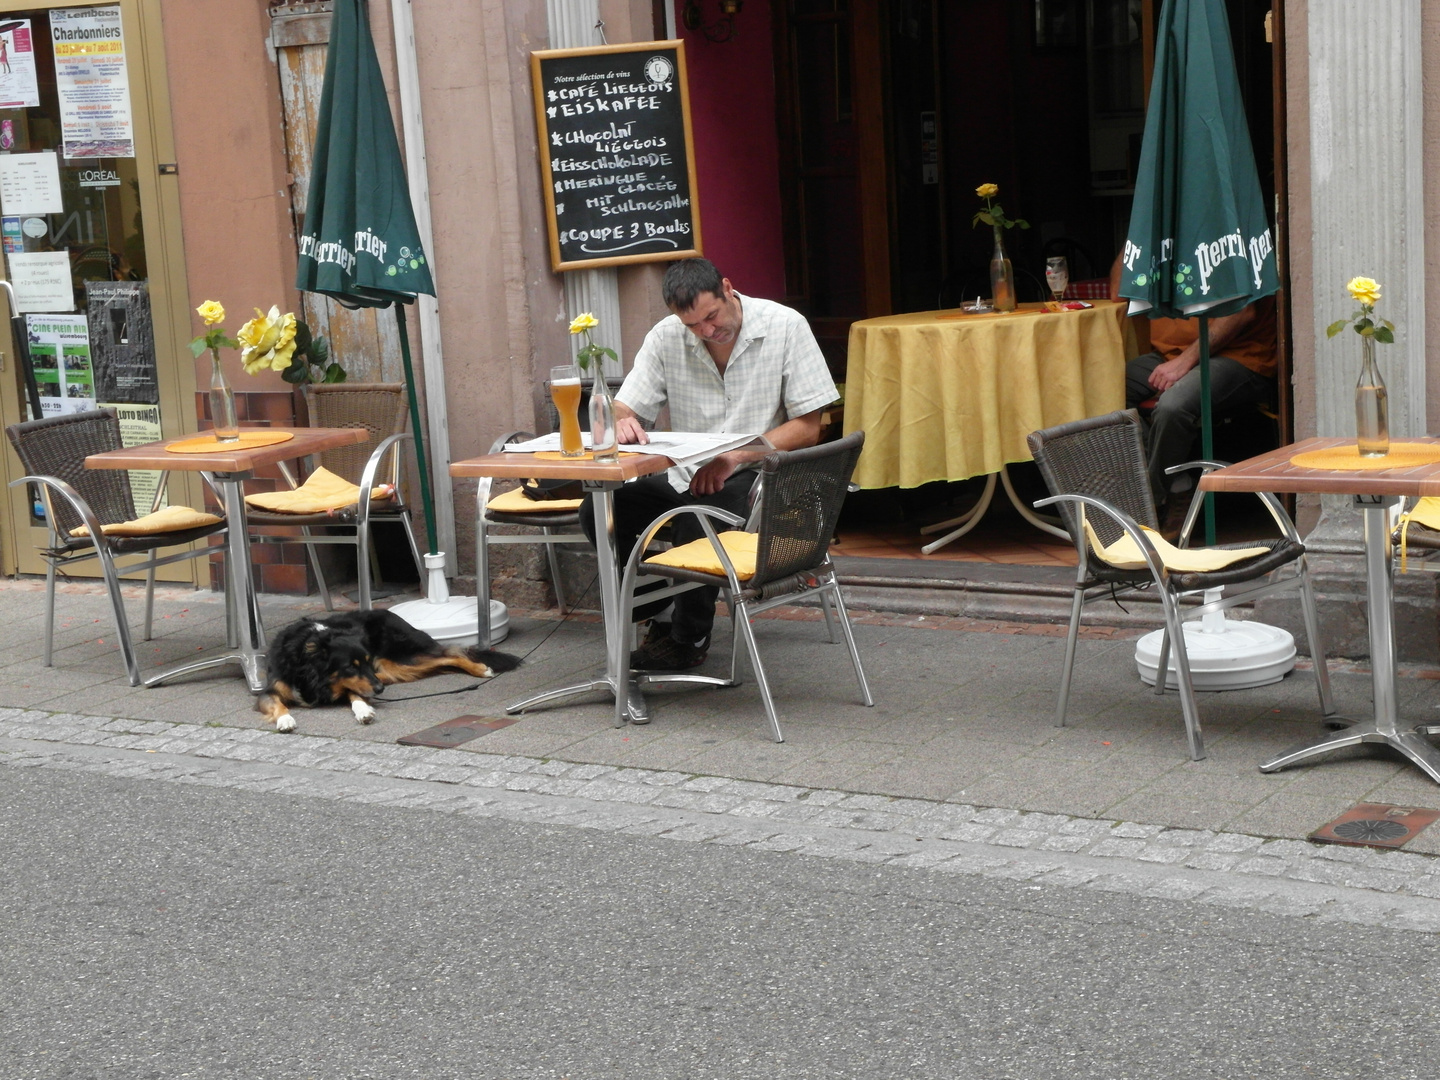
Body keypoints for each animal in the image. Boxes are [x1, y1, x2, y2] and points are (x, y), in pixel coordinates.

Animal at [256, 610, 521, 737]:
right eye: (350, 666)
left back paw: (480, 668)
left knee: (451, 655)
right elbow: (278, 704)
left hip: (397, 660)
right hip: (393, 665)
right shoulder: (267, 691)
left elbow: (356, 695)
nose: (380, 690)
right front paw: (285, 720)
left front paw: (364, 710)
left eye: (363, 663)